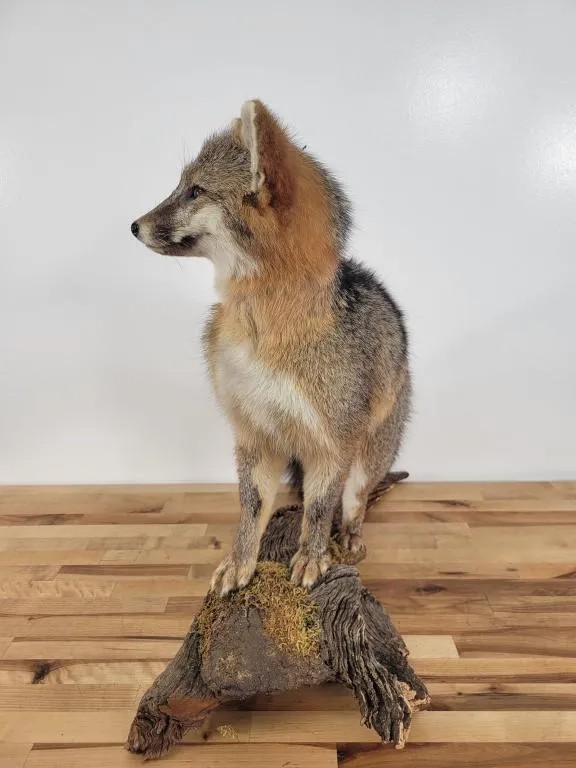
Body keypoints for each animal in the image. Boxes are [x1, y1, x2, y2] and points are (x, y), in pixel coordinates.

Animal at [131, 100, 411, 596]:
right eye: (181, 187)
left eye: (195, 191)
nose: (133, 225)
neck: (264, 329)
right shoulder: (254, 434)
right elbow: (251, 510)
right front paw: (241, 563)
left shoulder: (329, 444)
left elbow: (320, 510)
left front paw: (312, 556)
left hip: (365, 459)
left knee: (352, 504)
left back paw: (347, 539)